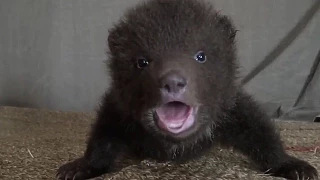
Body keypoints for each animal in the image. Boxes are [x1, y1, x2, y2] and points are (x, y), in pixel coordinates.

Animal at [55, 0, 318, 180]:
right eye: (142, 61)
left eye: (201, 56)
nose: (173, 82)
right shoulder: (121, 111)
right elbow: (104, 135)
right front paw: (79, 166)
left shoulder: (228, 107)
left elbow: (258, 130)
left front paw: (294, 165)